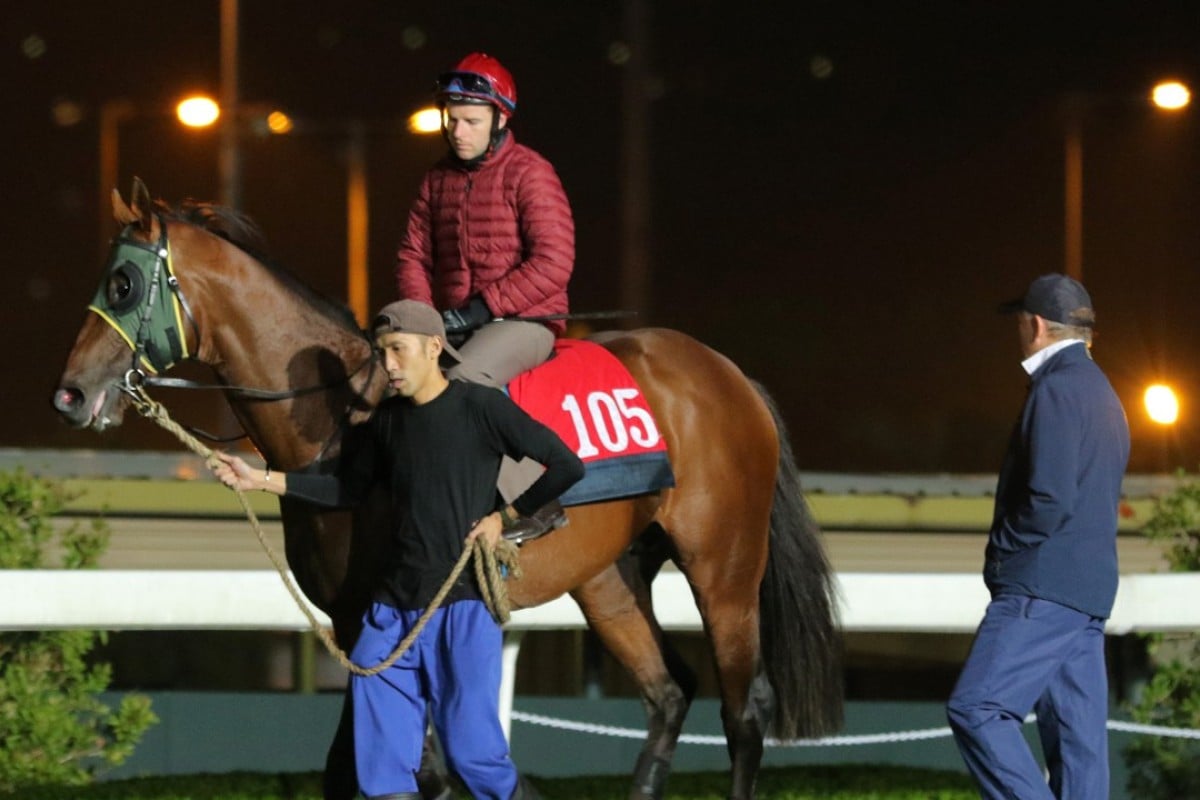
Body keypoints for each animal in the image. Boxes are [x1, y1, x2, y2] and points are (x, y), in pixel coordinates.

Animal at [54, 181, 844, 800]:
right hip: (610, 578)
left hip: (724, 566)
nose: (69, 395)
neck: (343, 419)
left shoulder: (397, 609)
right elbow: (350, 767)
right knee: (669, 692)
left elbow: (424, 769)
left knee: (744, 712)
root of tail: (729, 375)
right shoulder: (354, 620)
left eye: (122, 283)